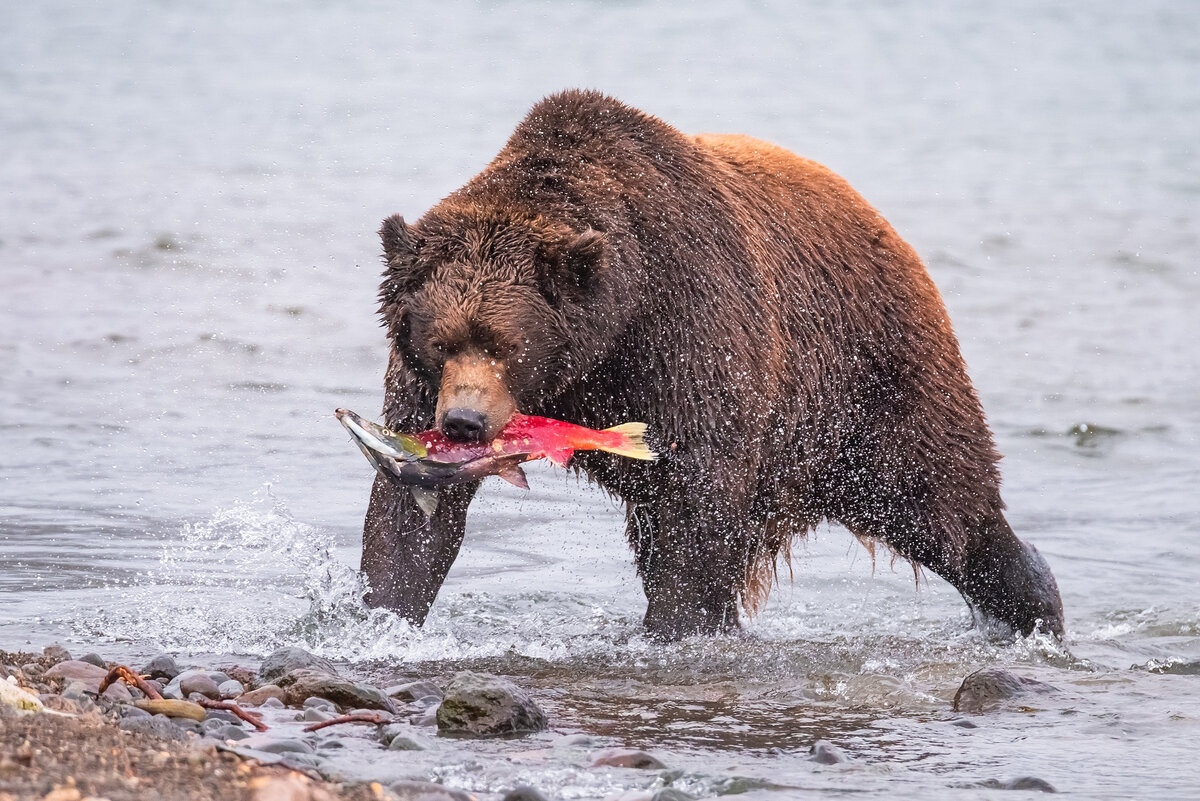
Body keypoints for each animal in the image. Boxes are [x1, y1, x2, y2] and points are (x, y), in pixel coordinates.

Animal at [360, 89, 1065, 637]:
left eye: (507, 344)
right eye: (440, 341)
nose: (464, 423)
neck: (607, 339)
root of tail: (887, 227)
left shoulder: (688, 329)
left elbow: (695, 499)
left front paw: (677, 626)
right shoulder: (422, 389)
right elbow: (410, 519)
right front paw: (384, 613)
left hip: (869, 380)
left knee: (937, 499)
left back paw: (1032, 600)